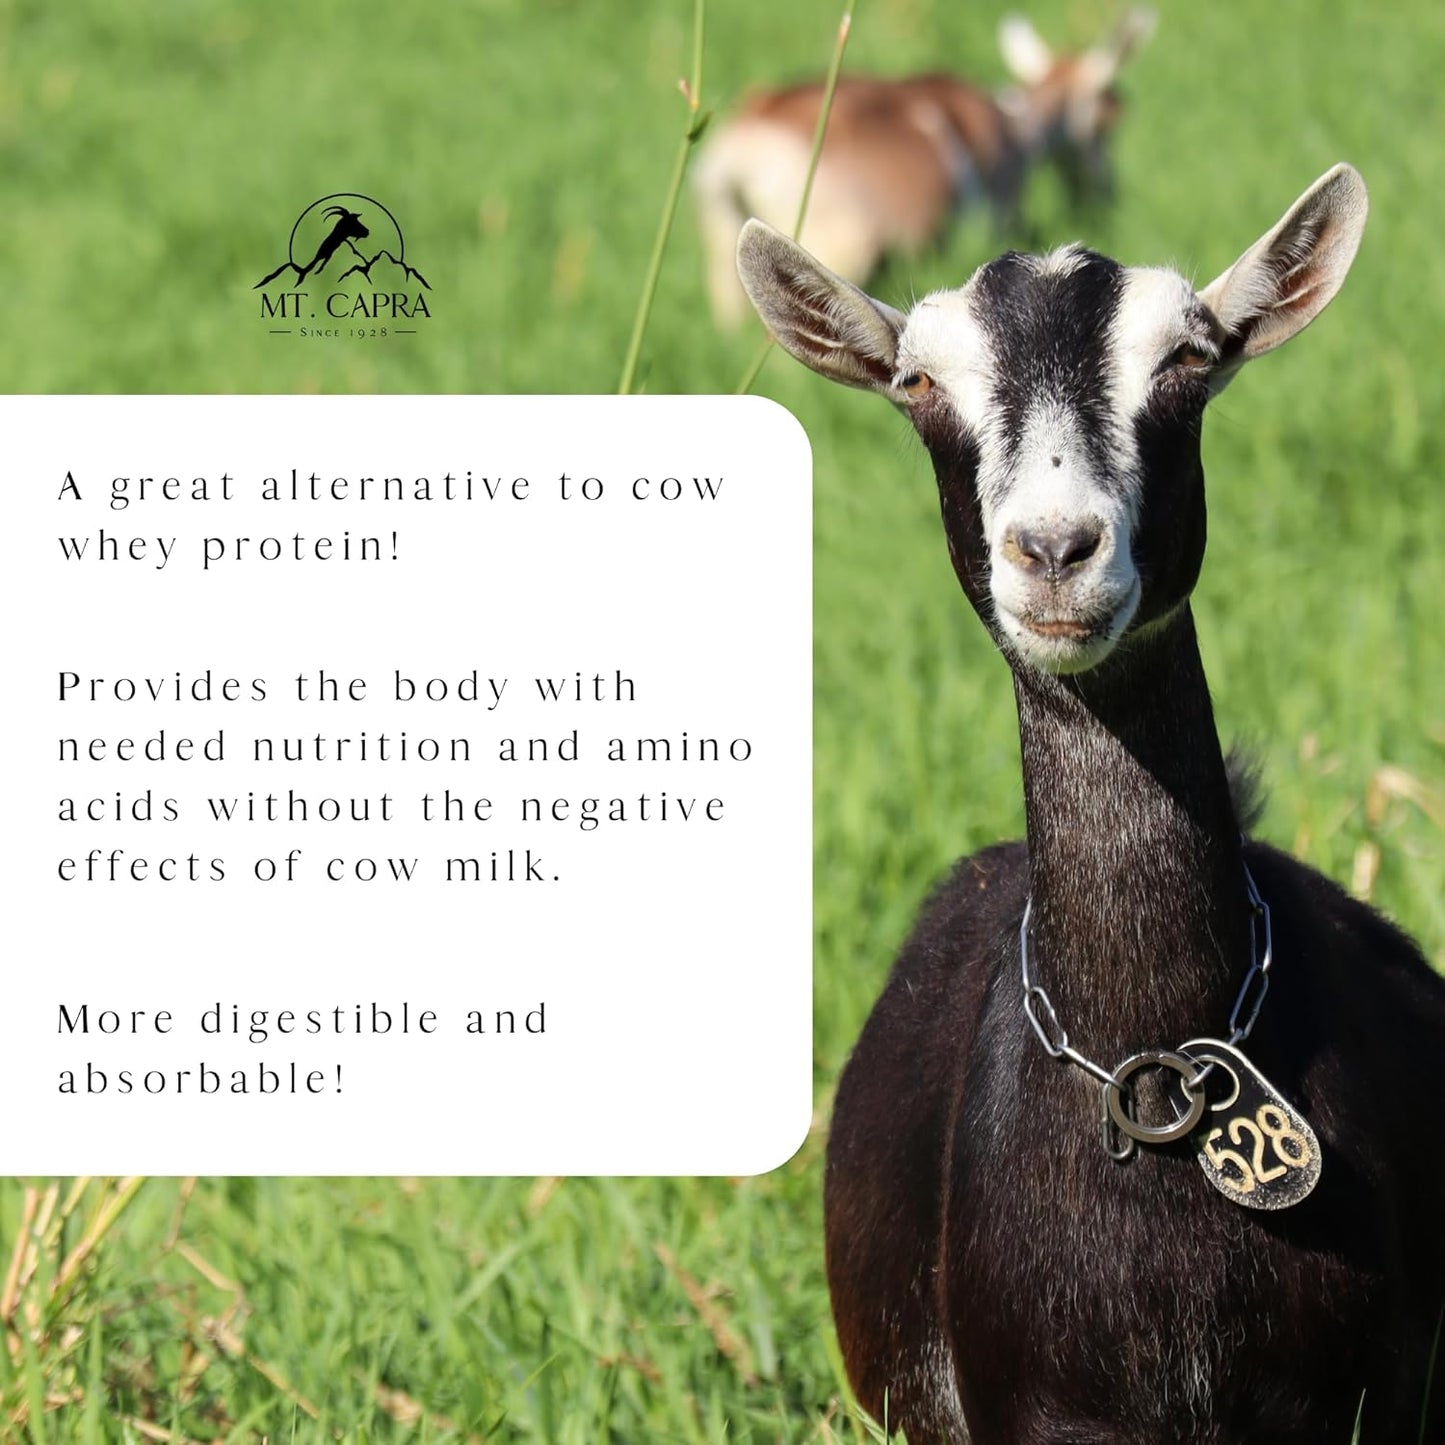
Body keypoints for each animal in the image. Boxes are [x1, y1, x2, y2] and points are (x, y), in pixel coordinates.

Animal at [696, 9, 1154, 328]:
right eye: (1108, 117)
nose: (1107, 193)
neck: (1016, 126)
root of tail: (745, 146)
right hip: (834, 247)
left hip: (726, 237)